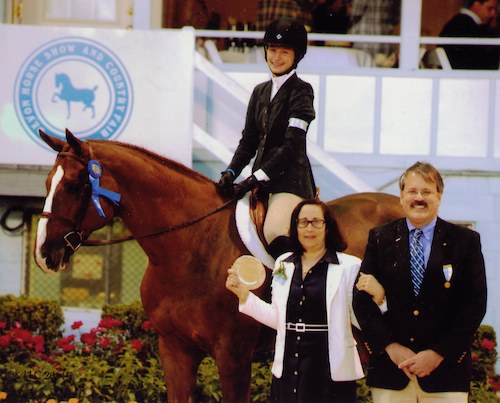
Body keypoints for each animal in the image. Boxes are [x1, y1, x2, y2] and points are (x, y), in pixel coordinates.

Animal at [34, 130, 402, 403]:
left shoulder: (233, 357)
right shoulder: (175, 351)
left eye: (75, 185)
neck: (192, 248)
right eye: (47, 183)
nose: (44, 253)